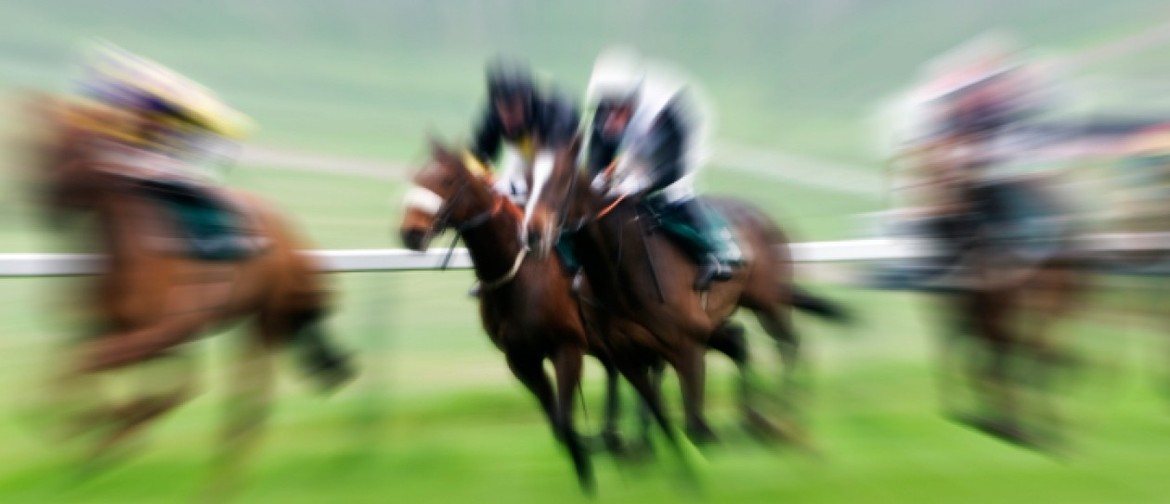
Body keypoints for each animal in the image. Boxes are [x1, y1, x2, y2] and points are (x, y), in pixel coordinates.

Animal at [526, 137, 847, 458]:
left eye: (562, 180)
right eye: (526, 182)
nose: (533, 232)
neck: (626, 266)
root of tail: (767, 217)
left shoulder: (685, 342)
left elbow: (691, 419)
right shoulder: (627, 347)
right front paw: (629, 442)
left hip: (767, 302)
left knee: (787, 343)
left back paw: (783, 414)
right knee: (742, 342)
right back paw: (756, 418)